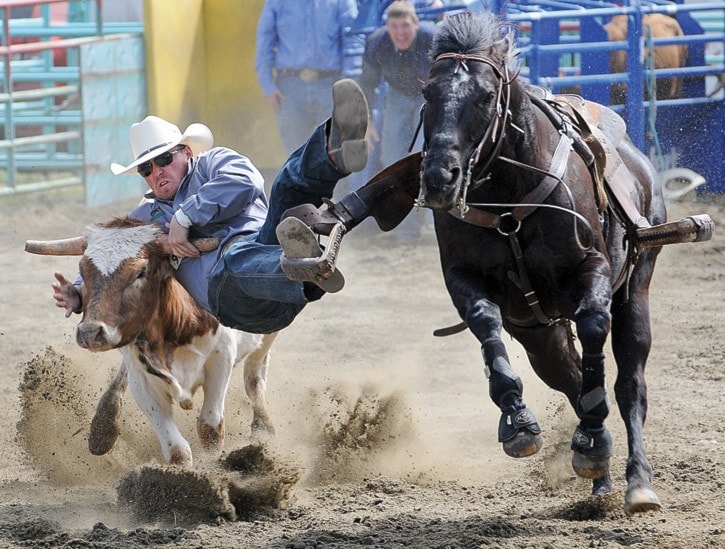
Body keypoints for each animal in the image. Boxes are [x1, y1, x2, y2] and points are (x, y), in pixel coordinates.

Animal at [416, 10, 664, 512]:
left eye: (485, 95)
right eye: (428, 92)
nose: (438, 179)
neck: (509, 199)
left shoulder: (592, 268)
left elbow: (593, 325)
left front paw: (596, 439)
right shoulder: (465, 281)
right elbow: (485, 324)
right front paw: (517, 420)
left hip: (637, 286)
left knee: (630, 385)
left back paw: (636, 480)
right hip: (539, 334)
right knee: (569, 378)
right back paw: (598, 473)